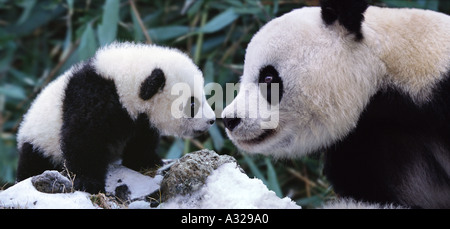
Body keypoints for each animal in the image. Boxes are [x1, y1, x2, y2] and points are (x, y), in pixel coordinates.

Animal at [16, 41, 215, 193]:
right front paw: (89, 183)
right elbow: (83, 139)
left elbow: (141, 139)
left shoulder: (139, 119)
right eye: (192, 104)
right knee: (34, 163)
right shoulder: (92, 98)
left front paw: (145, 161)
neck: (122, 84)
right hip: (40, 144)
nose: (211, 120)